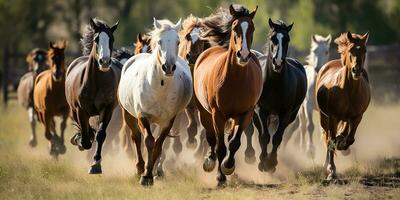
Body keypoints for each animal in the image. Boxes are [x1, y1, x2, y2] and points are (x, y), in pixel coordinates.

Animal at [64, 18, 119, 173]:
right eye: (96, 39)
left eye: (112, 39)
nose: (104, 62)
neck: (97, 83)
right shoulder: (80, 110)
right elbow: (85, 137)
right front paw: (80, 140)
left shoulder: (107, 110)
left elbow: (100, 135)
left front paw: (96, 165)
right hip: (73, 109)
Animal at [118, 18, 193, 186]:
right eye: (159, 41)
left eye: (178, 42)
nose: (168, 67)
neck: (160, 86)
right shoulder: (143, 116)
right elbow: (149, 141)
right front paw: (145, 175)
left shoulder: (168, 121)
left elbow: (159, 145)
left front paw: (151, 173)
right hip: (128, 115)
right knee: (136, 138)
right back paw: (140, 167)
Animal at [194, 4, 262, 186]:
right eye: (234, 27)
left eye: (252, 28)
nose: (243, 55)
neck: (235, 79)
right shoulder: (217, 114)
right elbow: (220, 146)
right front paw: (220, 177)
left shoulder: (246, 113)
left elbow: (234, 143)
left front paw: (228, 166)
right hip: (204, 112)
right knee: (211, 138)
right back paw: (209, 161)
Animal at [248, 18, 308, 172]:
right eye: (272, 38)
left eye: (287, 39)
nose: (278, 62)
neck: (274, 83)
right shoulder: (261, 110)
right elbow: (264, 136)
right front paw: (262, 162)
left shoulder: (285, 114)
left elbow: (277, 137)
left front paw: (271, 163)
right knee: (260, 133)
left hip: (290, 116)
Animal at [316, 32, 372, 180]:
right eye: (351, 50)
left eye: (364, 50)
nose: (356, 71)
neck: (349, 91)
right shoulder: (333, 117)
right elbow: (331, 141)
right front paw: (332, 171)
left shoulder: (357, 117)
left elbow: (350, 139)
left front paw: (342, 143)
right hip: (324, 118)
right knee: (327, 138)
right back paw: (327, 166)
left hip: (347, 118)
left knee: (343, 133)